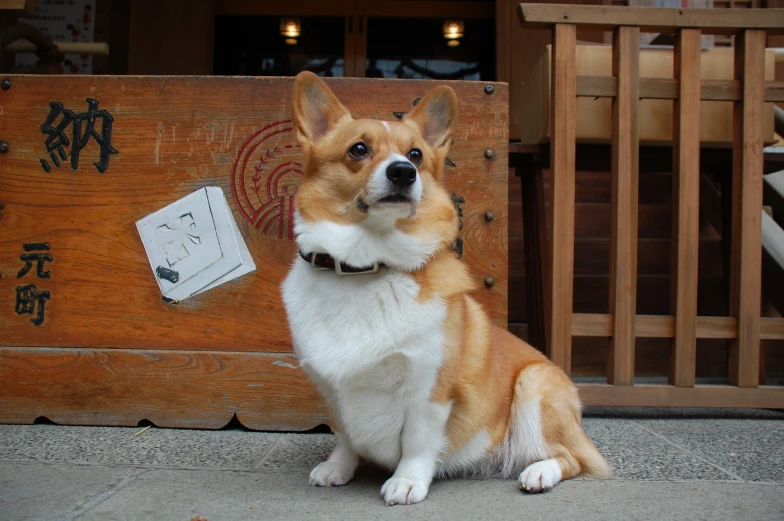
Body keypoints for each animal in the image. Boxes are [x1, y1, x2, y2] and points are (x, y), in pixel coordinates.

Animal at [282, 71, 612, 506]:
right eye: (358, 149)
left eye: (416, 154)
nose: (404, 172)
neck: (367, 265)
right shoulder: (331, 390)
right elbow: (345, 436)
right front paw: (337, 469)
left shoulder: (429, 388)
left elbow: (417, 443)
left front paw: (406, 483)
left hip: (534, 387)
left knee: (571, 458)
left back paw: (538, 473)